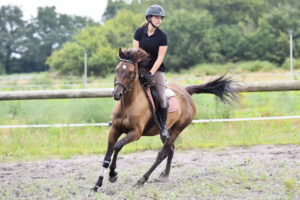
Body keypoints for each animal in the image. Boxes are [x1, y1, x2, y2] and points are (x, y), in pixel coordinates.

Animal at [92, 47, 239, 191]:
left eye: (131, 72)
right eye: (116, 69)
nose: (117, 94)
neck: (128, 104)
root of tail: (186, 91)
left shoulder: (136, 133)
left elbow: (118, 146)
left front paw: (113, 174)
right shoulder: (115, 129)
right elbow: (107, 156)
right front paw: (97, 184)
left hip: (178, 128)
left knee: (162, 153)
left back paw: (142, 179)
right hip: (167, 130)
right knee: (171, 148)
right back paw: (165, 175)